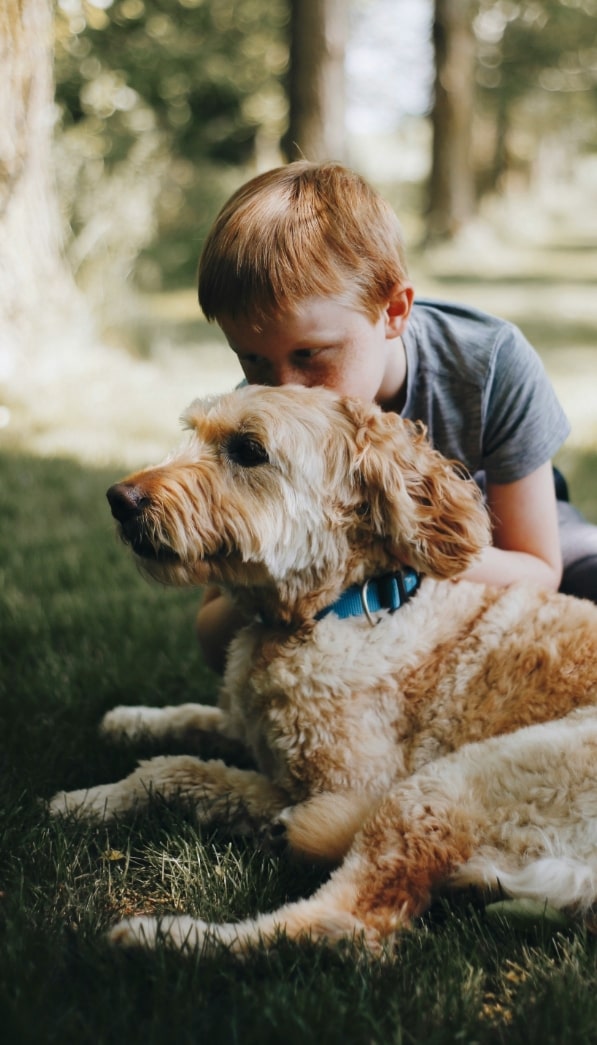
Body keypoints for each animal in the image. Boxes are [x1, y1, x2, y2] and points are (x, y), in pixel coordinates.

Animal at [47, 384, 597, 957]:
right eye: (193, 432)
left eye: (248, 450)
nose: (119, 499)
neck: (340, 608)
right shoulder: (252, 726)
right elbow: (195, 723)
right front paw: (129, 721)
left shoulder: (348, 787)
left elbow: (180, 770)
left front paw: (87, 800)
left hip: (445, 787)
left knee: (346, 925)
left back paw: (166, 936)